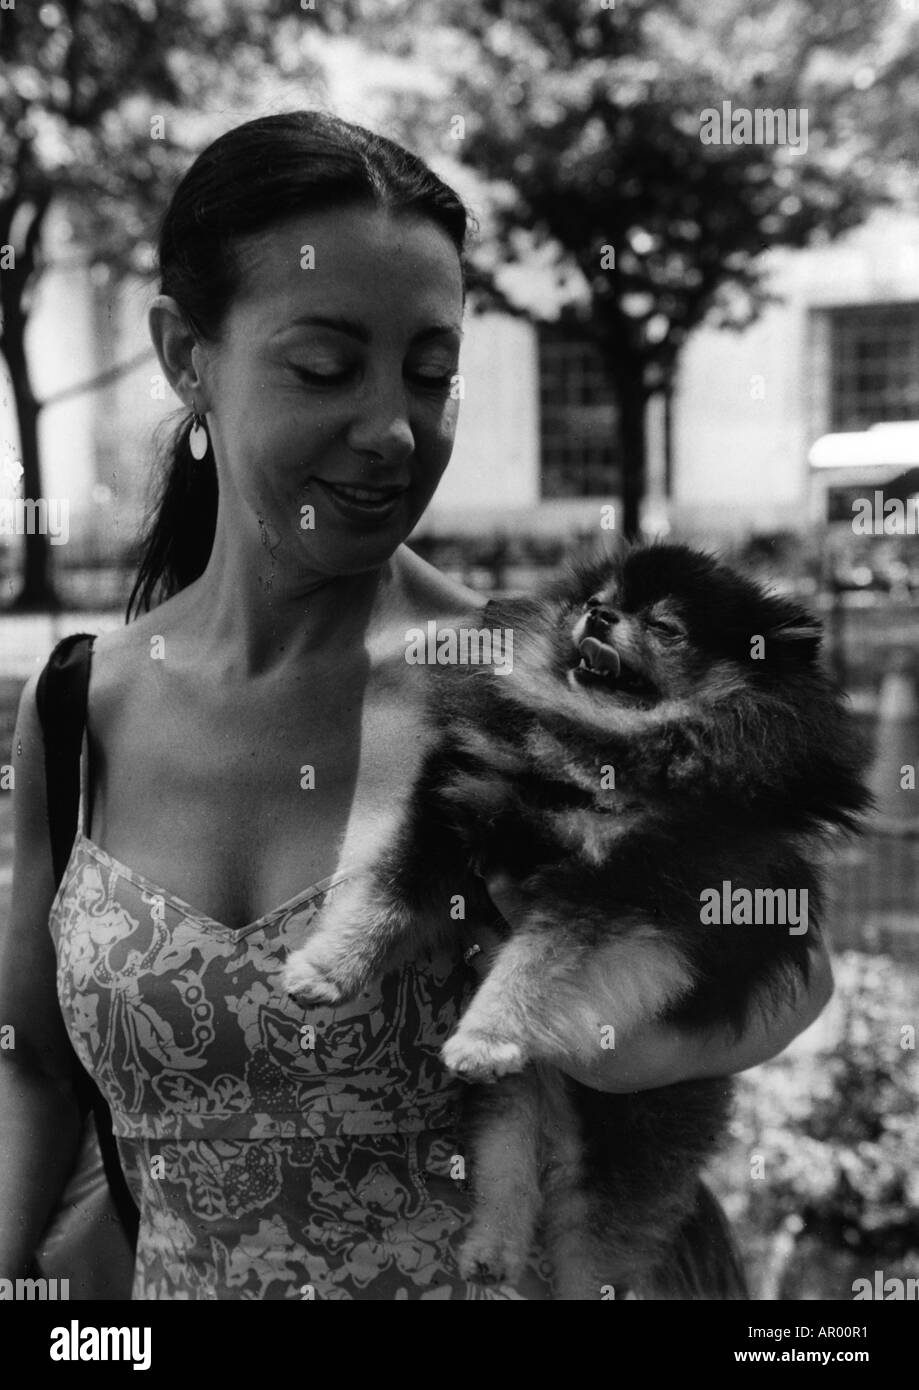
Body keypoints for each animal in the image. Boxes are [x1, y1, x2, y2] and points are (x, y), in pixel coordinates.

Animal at [285, 544, 867, 1301]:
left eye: (667, 627)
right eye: (598, 598)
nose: (601, 617)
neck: (584, 747)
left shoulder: (621, 892)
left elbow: (534, 964)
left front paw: (487, 1034)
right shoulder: (454, 813)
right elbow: (383, 899)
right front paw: (323, 970)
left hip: (618, 1161)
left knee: (591, 1252)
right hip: (512, 1108)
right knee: (508, 1169)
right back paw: (491, 1253)